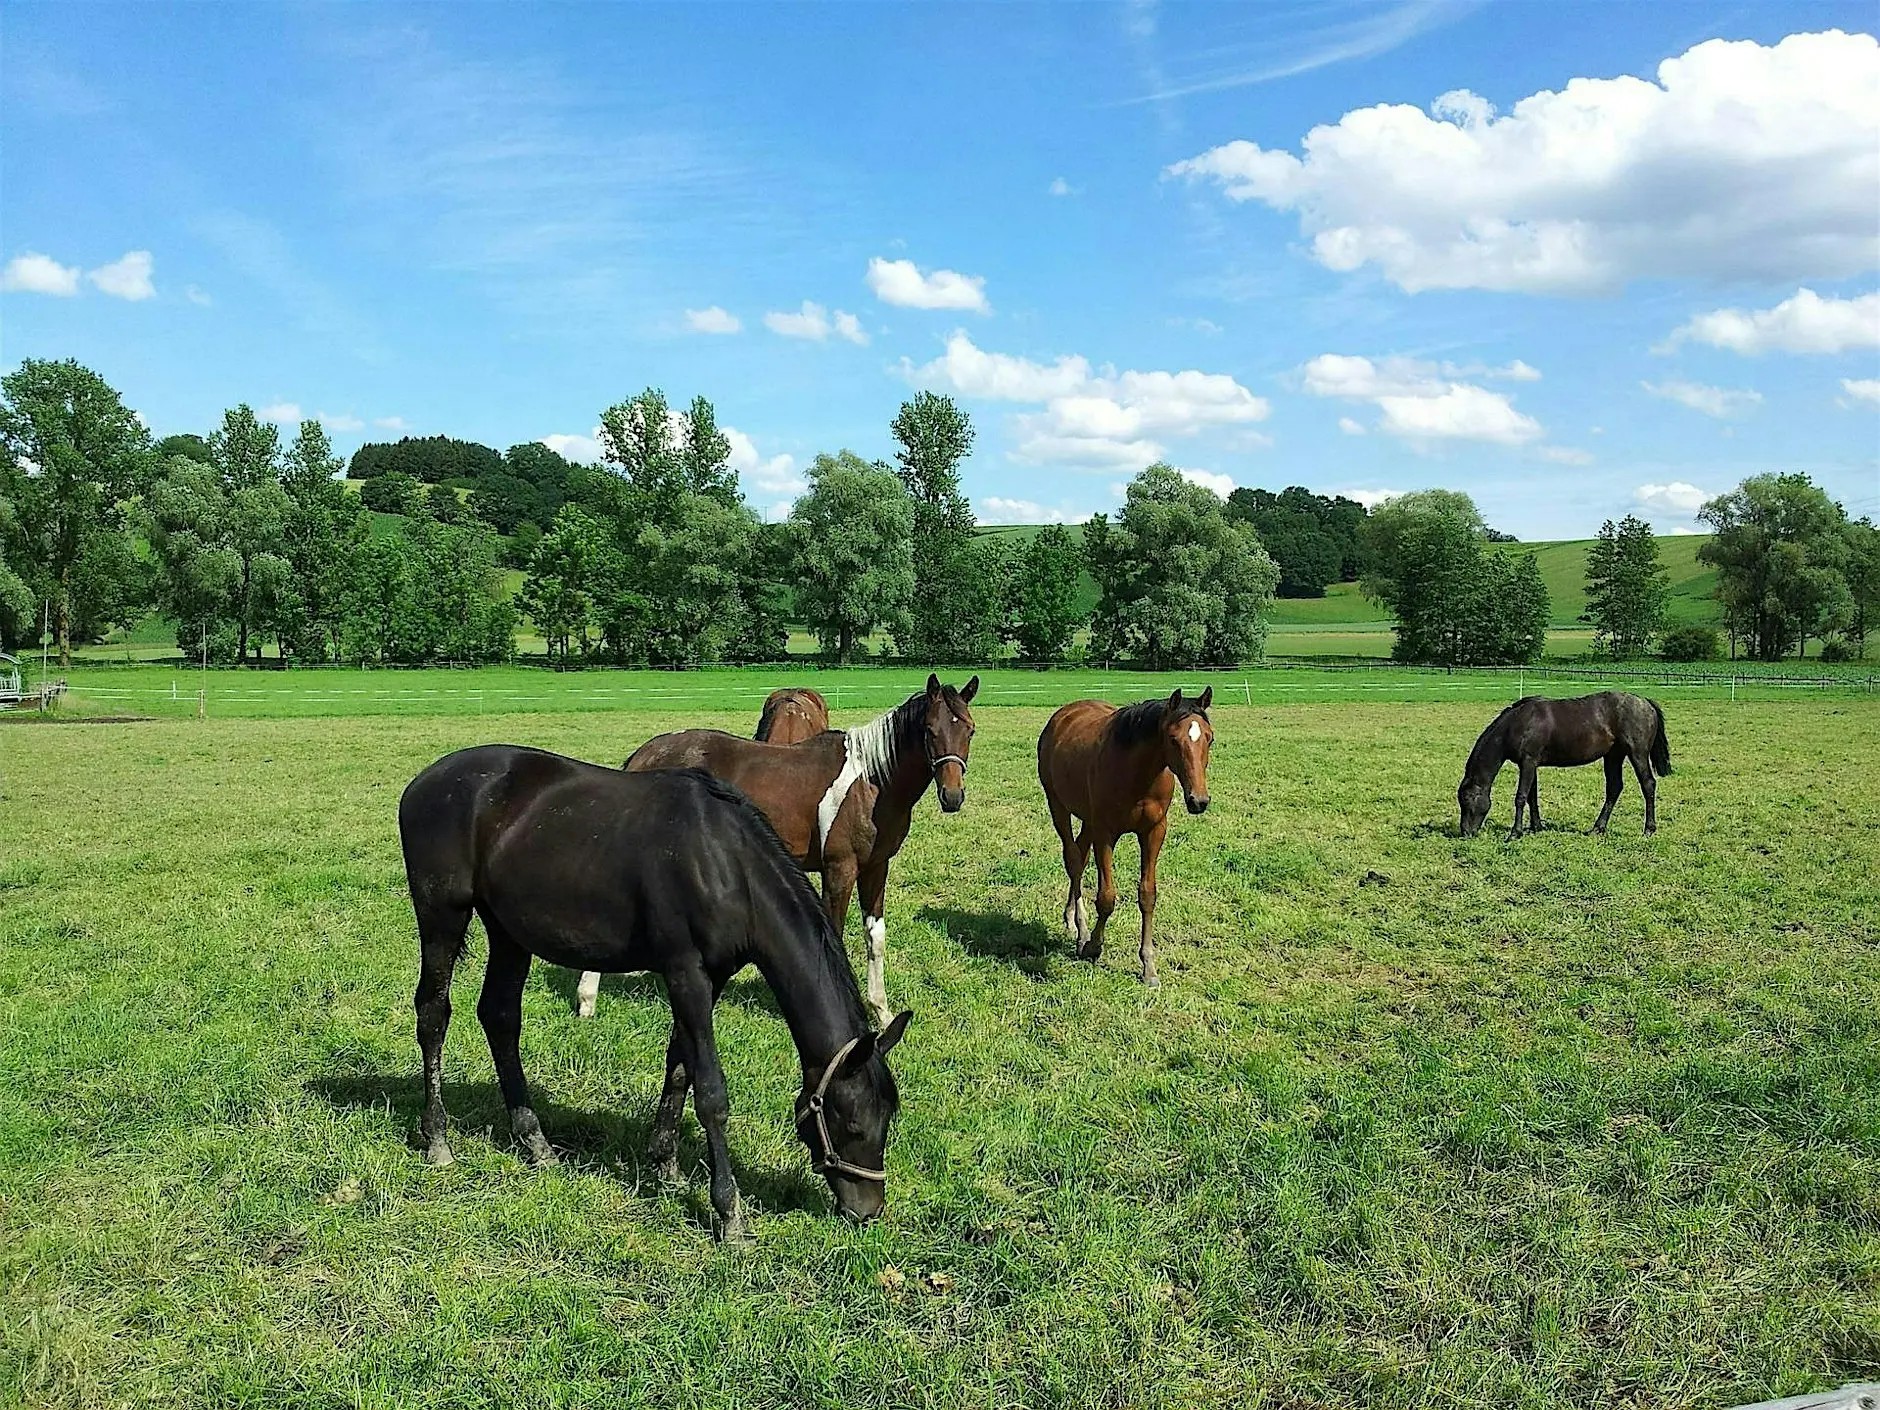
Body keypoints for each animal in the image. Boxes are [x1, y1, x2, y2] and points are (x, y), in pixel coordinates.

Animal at [399, 745, 912, 1240]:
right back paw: (438, 1138)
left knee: (501, 1017)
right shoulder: (685, 972)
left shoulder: (713, 976)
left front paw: (665, 1164)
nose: (868, 1211)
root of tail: (423, 783)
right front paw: (728, 1211)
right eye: (852, 1122)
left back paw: (534, 1140)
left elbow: (680, 1065)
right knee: (433, 1014)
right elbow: (710, 1091)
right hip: (442, 917)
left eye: (890, 1118)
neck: (726, 863)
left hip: (508, 932)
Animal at [574, 674, 979, 1026]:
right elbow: (834, 935)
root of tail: (642, 758)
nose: (952, 796)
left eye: (970, 730)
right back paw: (587, 1000)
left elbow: (874, 938)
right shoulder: (840, 869)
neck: (870, 782)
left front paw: (882, 1012)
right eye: (930, 730)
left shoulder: (876, 868)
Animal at [1036, 688, 1214, 987]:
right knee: (1074, 861)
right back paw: (1080, 929)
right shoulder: (1105, 833)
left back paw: (1071, 918)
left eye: (1210, 738)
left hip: (1088, 820)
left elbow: (1147, 895)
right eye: (1173, 738)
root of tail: (1064, 714)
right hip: (1058, 806)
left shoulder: (1154, 831)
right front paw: (1093, 946)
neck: (1138, 774)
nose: (1198, 801)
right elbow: (1106, 897)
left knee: (1081, 856)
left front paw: (1149, 967)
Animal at [1458, 691, 1672, 840]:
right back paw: (1597, 828)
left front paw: (1515, 833)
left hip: (1637, 754)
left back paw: (1648, 829)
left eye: (1467, 800)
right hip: (1613, 756)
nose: (1465, 833)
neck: (1517, 724)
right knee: (1614, 788)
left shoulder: (1528, 762)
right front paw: (1536, 827)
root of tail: (1646, 703)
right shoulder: (1531, 764)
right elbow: (1532, 797)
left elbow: (1521, 797)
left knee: (1648, 785)